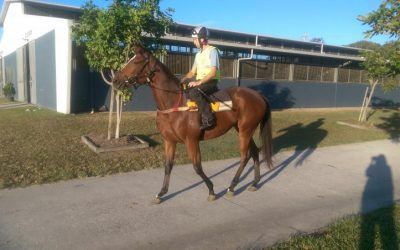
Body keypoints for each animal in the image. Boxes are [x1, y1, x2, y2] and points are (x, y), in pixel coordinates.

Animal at [114, 46, 274, 204]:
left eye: (136, 61)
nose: (115, 80)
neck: (174, 104)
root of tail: (258, 95)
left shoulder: (191, 140)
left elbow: (197, 167)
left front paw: (211, 190)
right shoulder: (169, 141)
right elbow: (168, 165)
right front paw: (161, 193)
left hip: (245, 131)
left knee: (244, 156)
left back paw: (232, 186)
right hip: (243, 129)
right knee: (254, 152)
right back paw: (254, 183)